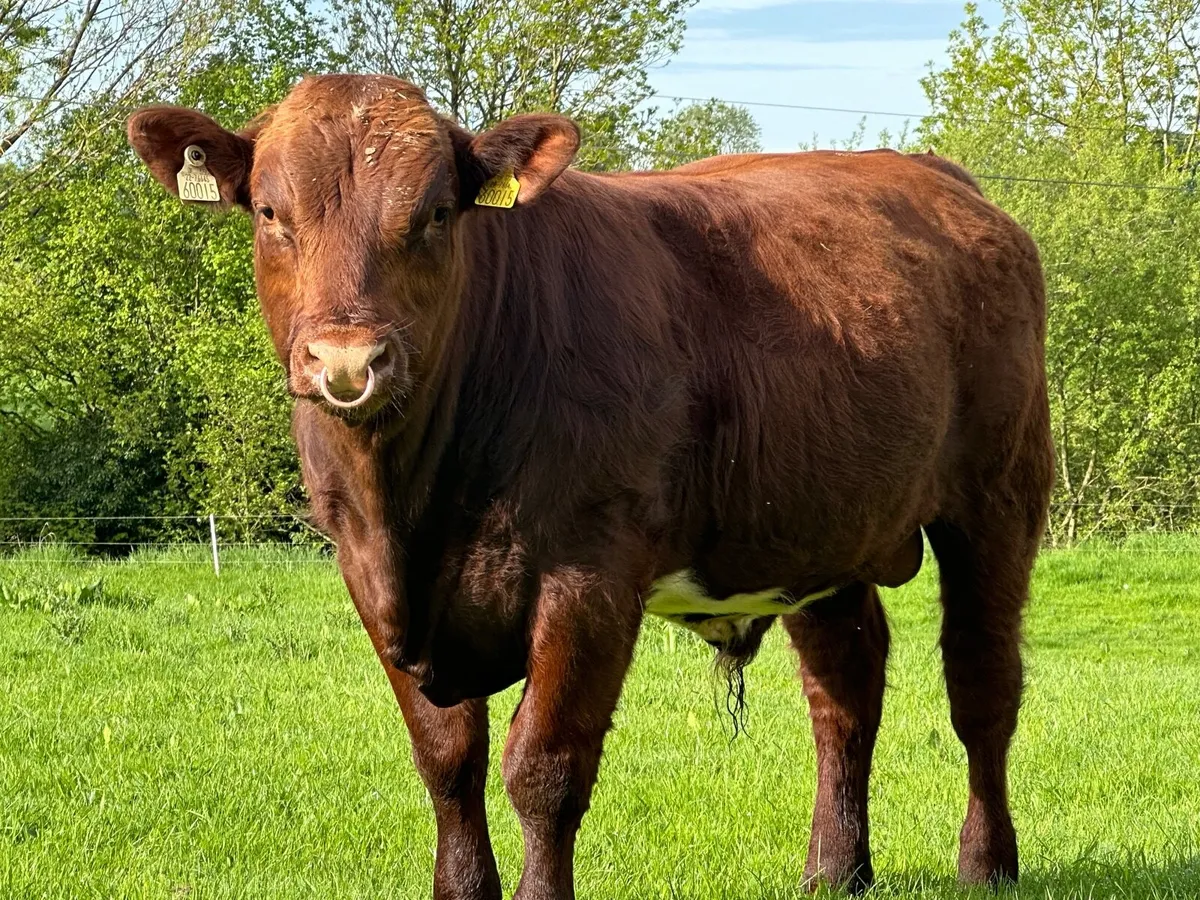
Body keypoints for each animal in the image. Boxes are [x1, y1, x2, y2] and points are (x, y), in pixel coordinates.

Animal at [128, 74, 1054, 899]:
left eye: (435, 214)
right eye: (270, 213)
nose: (349, 360)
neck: (414, 507)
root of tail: (939, 176)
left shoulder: (589, 575)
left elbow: (544, 768)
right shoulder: (367, 574)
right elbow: (447, 761)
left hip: (999, 495)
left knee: (981, 684)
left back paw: (987, 864)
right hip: (821, 528)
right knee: (845, 690)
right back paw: (835, 870)